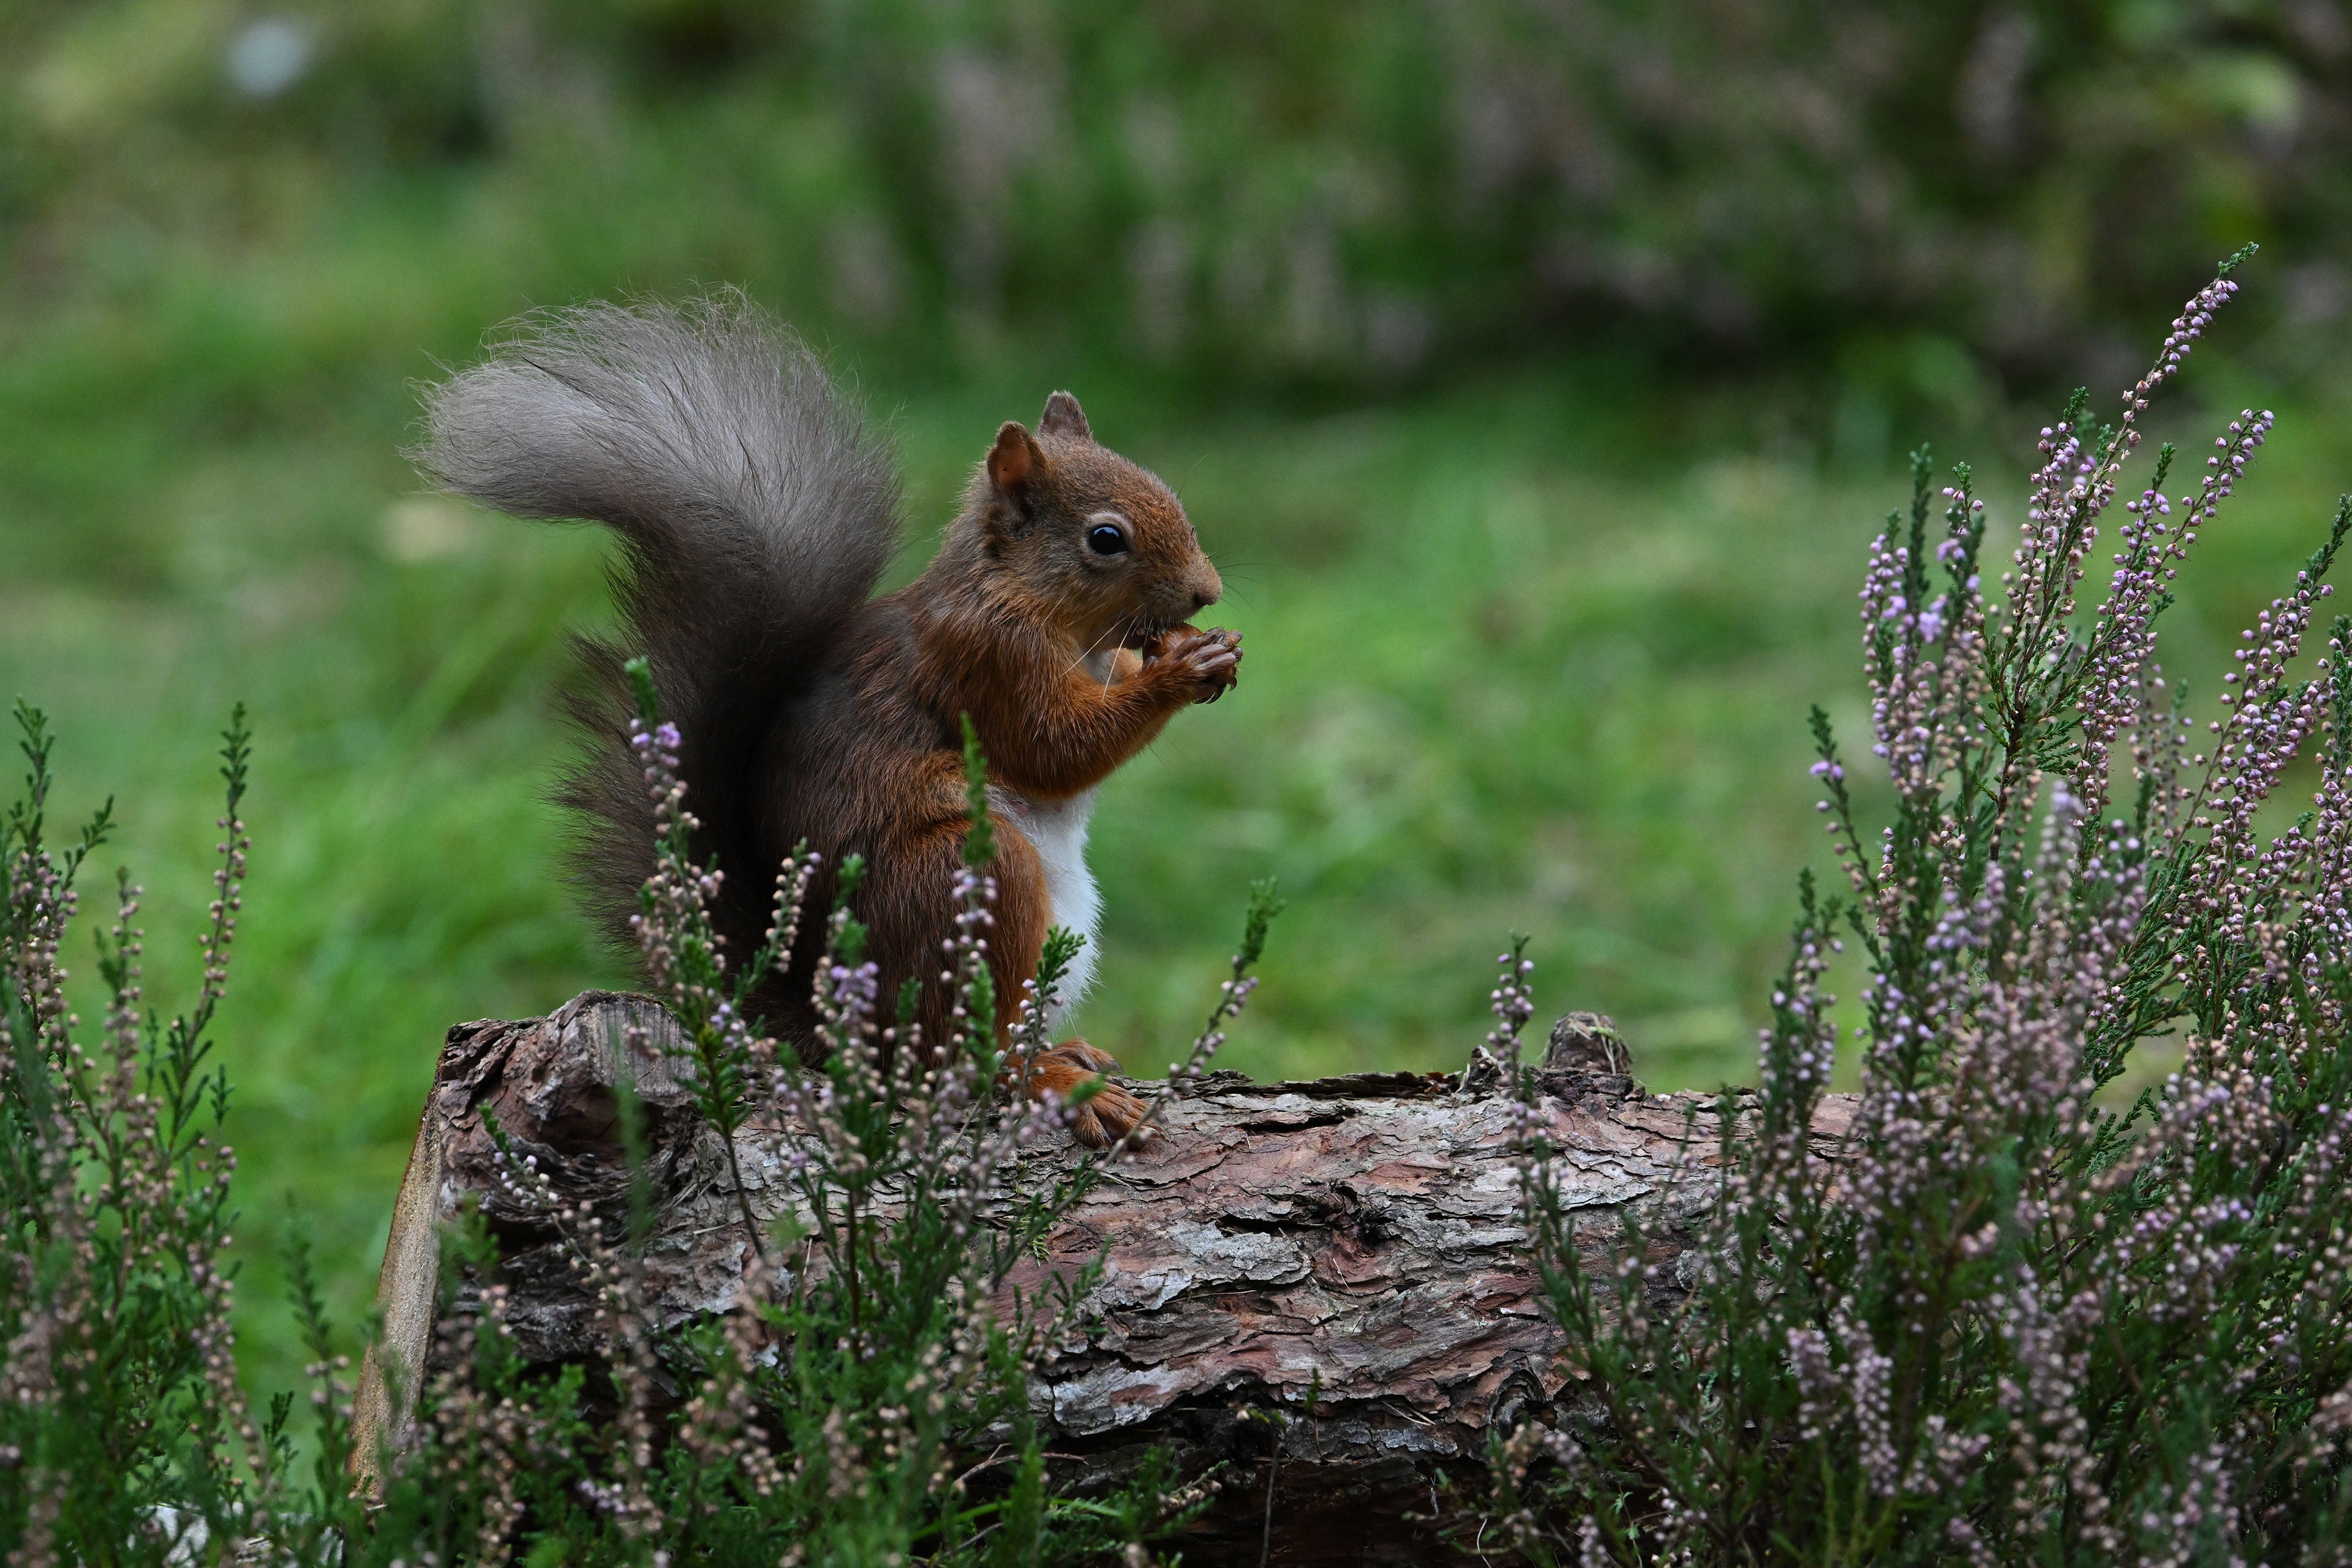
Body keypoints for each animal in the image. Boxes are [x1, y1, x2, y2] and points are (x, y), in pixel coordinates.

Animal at [412, 295, 1239, 1146]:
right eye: (1106, 539)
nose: (1207, 592)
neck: (1025, 598)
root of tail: (841, 1024)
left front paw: (1193, 653)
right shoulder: (986, 662)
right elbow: (1055, 748)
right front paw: (1178, 673)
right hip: (967, 879)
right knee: (963, 1060)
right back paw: (1051, 1078)